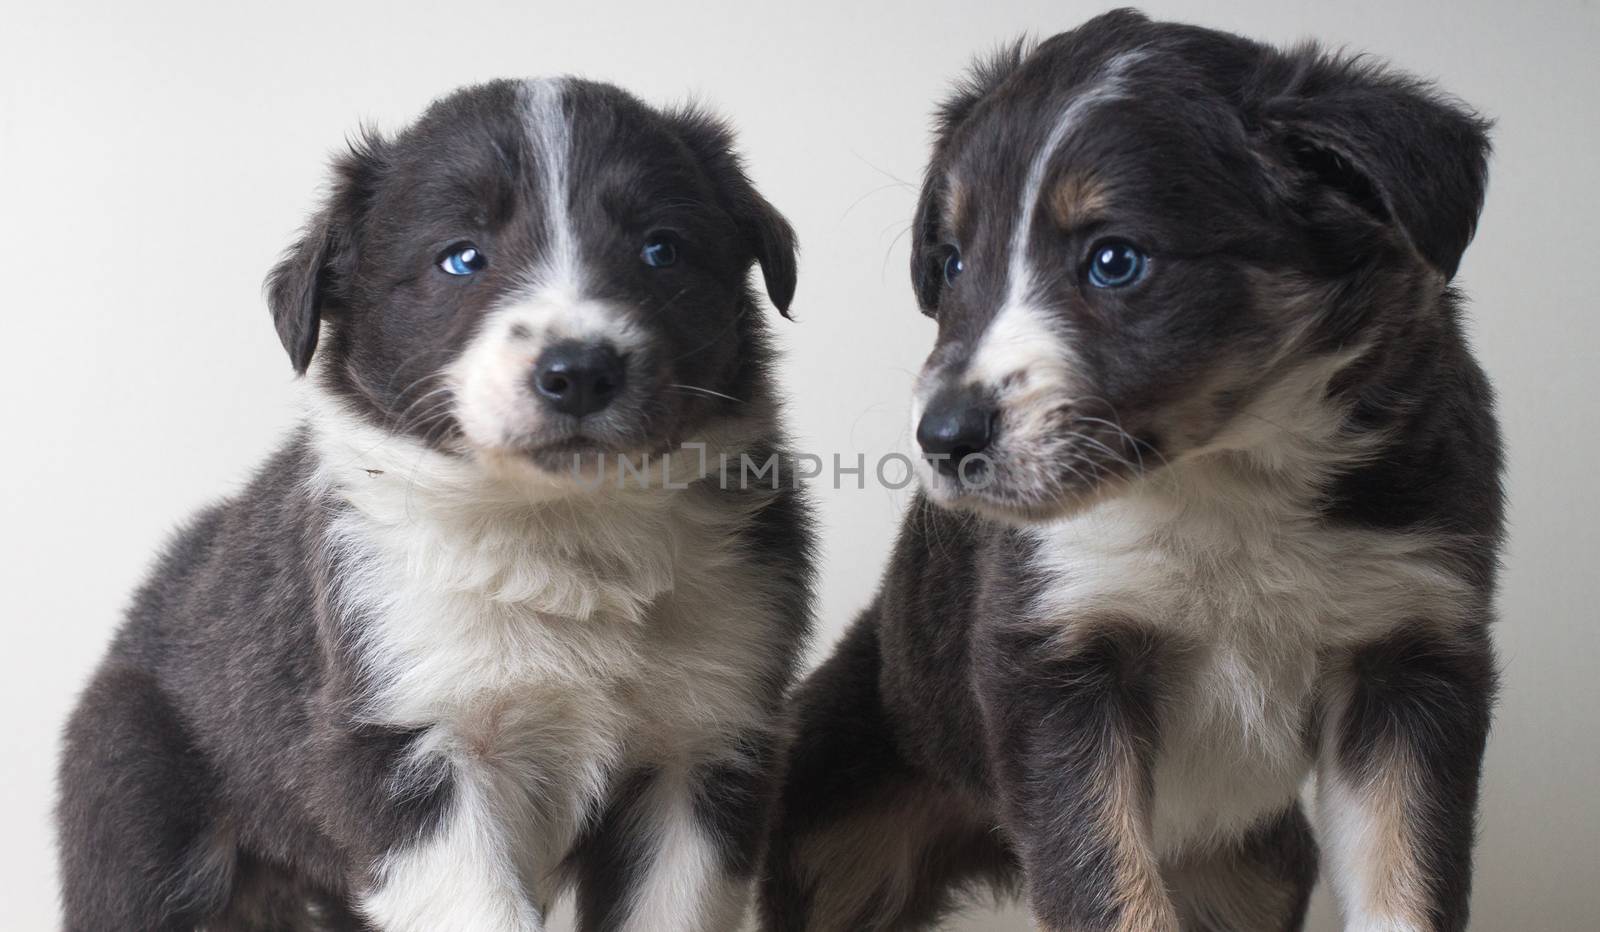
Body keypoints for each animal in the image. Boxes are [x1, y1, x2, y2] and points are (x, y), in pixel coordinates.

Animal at [58, 80, 819, 932]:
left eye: (661, 249)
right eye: (461, 258)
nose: (578, 372)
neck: (559, 526)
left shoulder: (704, 744)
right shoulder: (407, 739)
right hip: (135, 799)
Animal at [768, 9, 1504, 932]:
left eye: (1116, 260)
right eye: (953, 263)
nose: (942, 439)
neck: (1228, 483)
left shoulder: (1413, 655)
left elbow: (1403, 883)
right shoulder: (1056, 660)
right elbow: (1108, 888)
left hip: (1249, 874)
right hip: (837, 839)